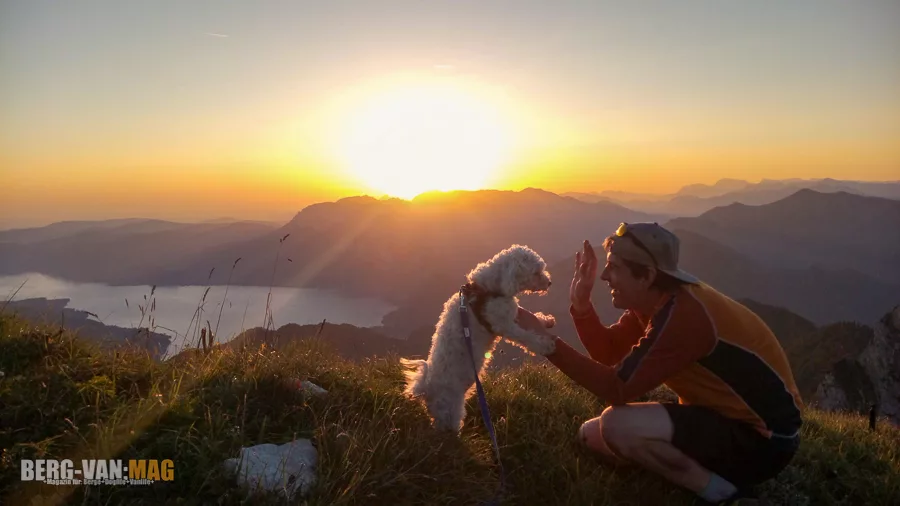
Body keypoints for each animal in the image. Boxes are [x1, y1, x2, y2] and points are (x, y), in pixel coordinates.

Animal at [400, 244, 556, 430]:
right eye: (536, 272)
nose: (549, 282)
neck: (487, 289)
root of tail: (426, 388)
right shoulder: (503, 325)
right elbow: (526, 337)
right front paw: (545, 345)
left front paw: (545, 320)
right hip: (450, 408)